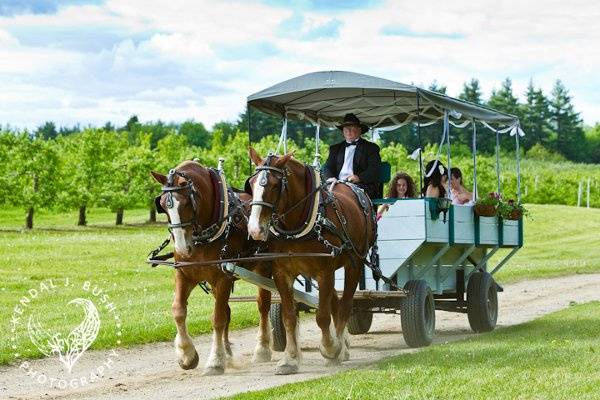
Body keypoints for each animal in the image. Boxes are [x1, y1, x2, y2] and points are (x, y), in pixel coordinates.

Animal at [151, 161, 274, 376]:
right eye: (164, 205)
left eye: (186, 203)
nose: (182, 248)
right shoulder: (184, 274)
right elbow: (178, 310)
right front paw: (187, 354)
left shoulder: (222, 278)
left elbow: (217, 318)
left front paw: (215, 361)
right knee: (228, 310)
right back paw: (228, 353)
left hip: (264, 267)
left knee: (263, 305)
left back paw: (262, 349)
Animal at [245, 149, 376, 376]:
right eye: (252, 184)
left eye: (274, 185)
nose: (254, 230)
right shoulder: (283, 274)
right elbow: (289, 317)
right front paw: (290, 359)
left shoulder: (325, 272)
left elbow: (322, 316)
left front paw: (331, 349)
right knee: (335, 303)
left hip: (354, 263)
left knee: (345, 305)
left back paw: (340, 347)